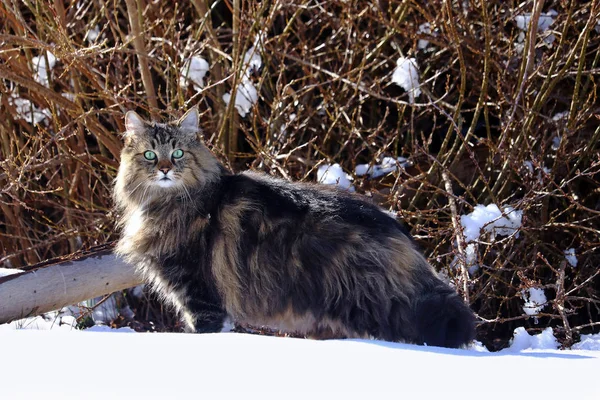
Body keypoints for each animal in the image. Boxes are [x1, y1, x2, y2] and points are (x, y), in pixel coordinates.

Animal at [115, 108, 476, 348]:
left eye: (177, 153)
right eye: (150, 155)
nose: (164, 168)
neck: (167, 204)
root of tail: (395, 230)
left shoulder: (198, 294)